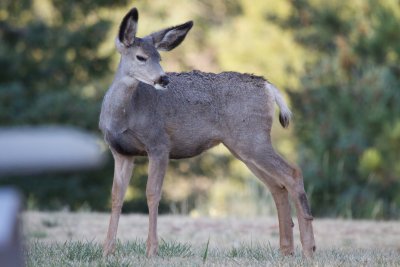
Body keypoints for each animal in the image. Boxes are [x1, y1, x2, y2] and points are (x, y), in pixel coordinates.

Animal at [99, 7, 316, 260]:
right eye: (141, 57)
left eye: (159, 58)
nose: (164, 79)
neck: (125, 113)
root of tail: (267, 86)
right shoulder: (121, 151)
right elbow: (116, 196)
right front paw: (107, 250)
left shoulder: (159, 144)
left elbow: (152, 194)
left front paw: (151, 250)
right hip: (243, 147)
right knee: (277, 186)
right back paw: (286, 251)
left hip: (252, 139)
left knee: (292, 174)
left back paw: (309, 249)